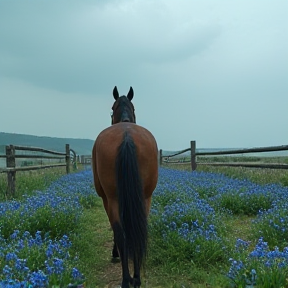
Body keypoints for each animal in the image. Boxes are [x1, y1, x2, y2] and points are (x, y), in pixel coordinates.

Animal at [91, 86, 158, 288]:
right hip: (145, 197)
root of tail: (127, 135)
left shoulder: (106, 199)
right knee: (138, 229)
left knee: (120, 232)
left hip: (112, 198)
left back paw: (126, 279)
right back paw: (136, 278)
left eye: (111, 109)